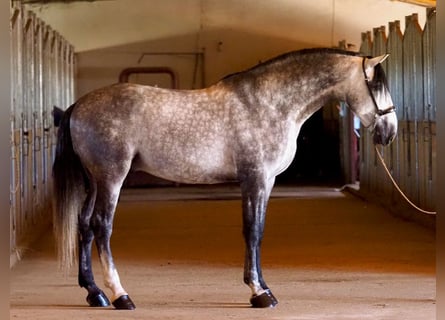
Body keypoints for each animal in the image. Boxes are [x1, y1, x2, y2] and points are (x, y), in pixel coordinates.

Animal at [51, 48, 396, 310]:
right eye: (377, 85)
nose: (389, 132)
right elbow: (252, 231)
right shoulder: (254, 179)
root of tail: (77, 106)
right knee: (101, 226)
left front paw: (262, 287)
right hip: (111, 177)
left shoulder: (267, 182)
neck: (269, 104)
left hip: (93, 180)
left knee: (84, 225)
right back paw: (120, 295)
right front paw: (259, 292)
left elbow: (259, 231)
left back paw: (94, 293)